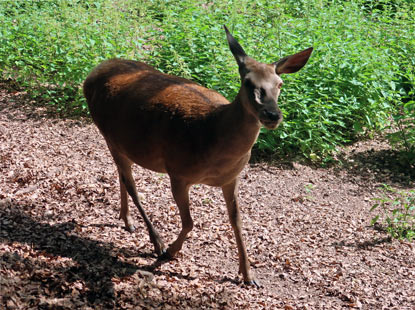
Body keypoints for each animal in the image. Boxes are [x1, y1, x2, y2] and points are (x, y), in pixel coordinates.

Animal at [83, 25, 312, 286]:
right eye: (247, 82)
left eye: (280, 83)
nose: (273, 115)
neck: (211, 134)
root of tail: (91, 74)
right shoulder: (178, 173)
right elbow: (190, 222)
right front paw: (170, 252)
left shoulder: (231, 178)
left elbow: (237, 221)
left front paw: (248, 275)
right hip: (106, 132)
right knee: (130, 183)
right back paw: (157, 241)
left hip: (123, 143)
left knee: (122, 176)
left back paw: (127, 220)